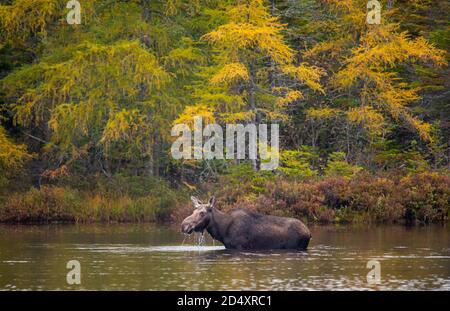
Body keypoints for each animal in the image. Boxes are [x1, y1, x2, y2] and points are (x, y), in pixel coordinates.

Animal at [181, 197, 312, 251]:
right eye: (193, 211)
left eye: (202, 213)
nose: (184, 225)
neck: (222, 231)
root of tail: (309, 232)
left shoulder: (239, 246)